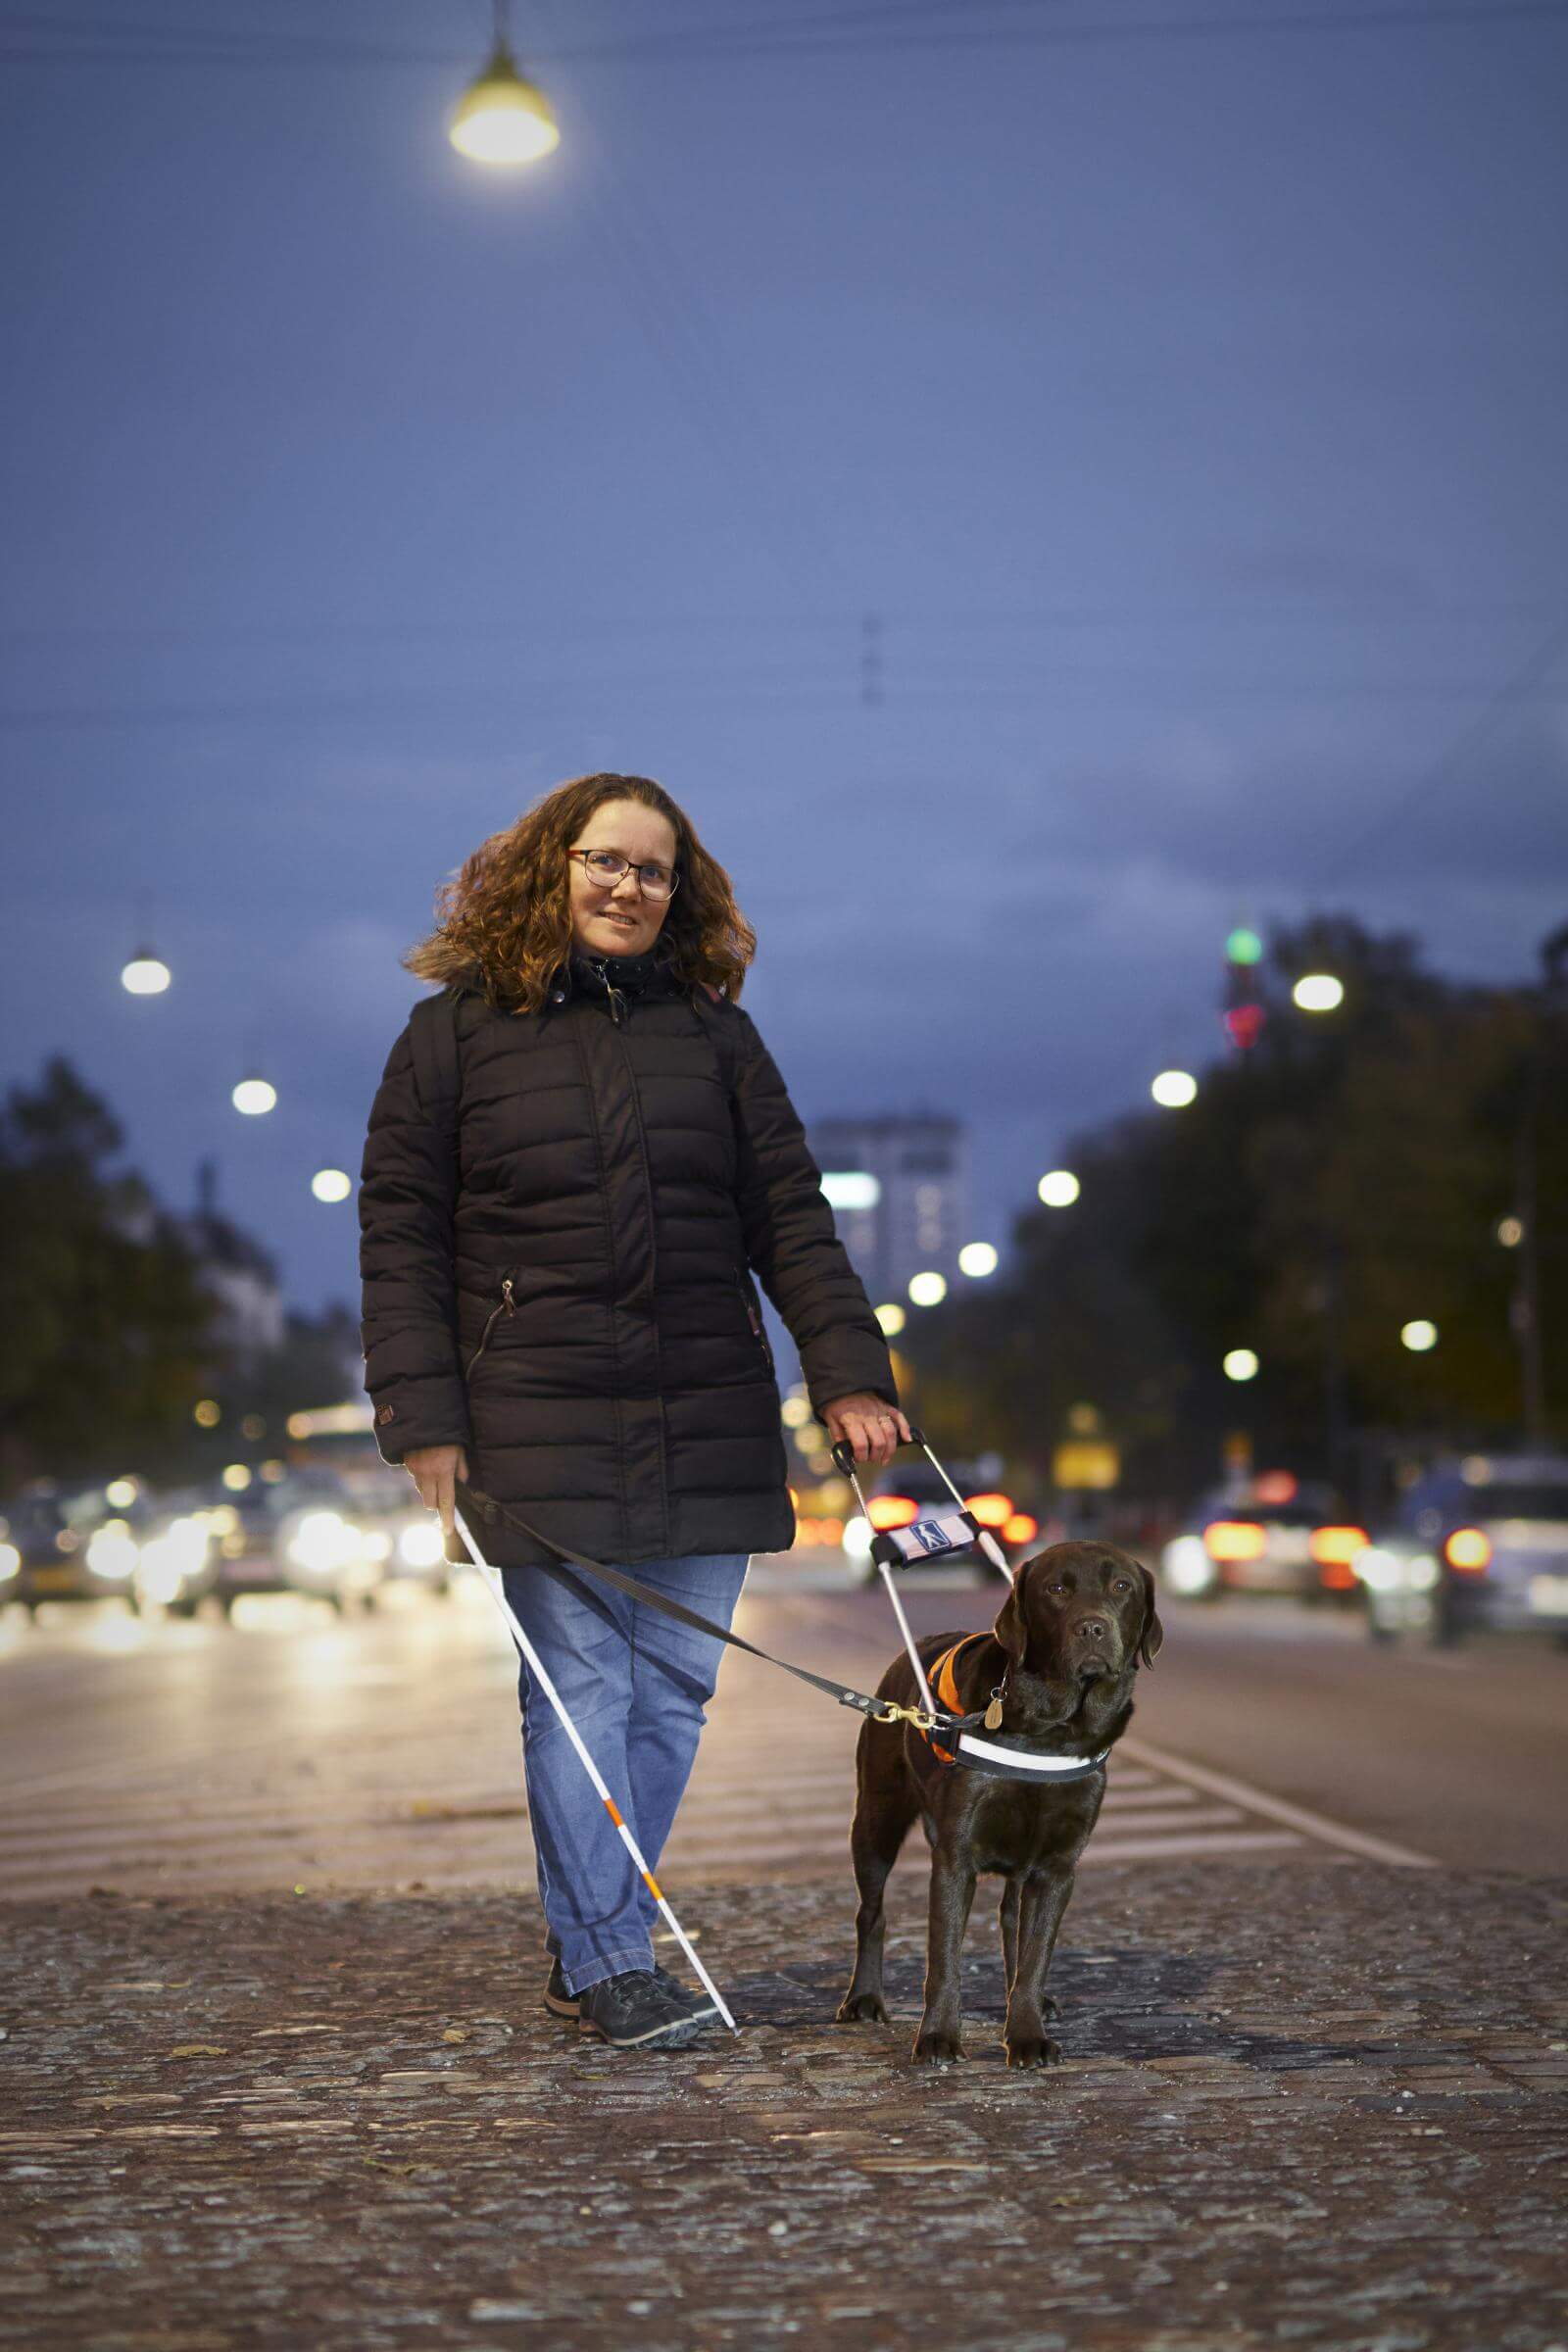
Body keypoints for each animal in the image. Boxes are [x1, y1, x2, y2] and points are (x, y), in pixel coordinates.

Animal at [841, 1552, 1161, 2070]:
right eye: (1056, 1590)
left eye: (1121, 1586)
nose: (1092, 1627)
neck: (1053, 1730)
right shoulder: (954, 1860)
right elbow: (945, 1959)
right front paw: (938, 2037)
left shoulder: (1056, 1868)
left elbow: (1035, 1955)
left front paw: (1026, 2033)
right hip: (875, 1821)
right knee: (871, 1912)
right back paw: (864, 1999)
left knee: (1012, 1919)